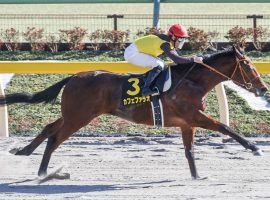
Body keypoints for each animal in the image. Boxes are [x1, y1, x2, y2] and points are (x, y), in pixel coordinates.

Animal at [0, 45, 268, 180]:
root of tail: (73, 77)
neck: (192, 81)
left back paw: (24, 151)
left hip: (73, 115)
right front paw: (254, 148)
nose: (263, 87)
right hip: (79, 117)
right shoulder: (195, 117)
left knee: (49, 128)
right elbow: (225, 127)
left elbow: (190, 151)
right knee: (55, 138)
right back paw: (43, 172)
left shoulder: (186, 122)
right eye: (248, 65)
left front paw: (196, 177)